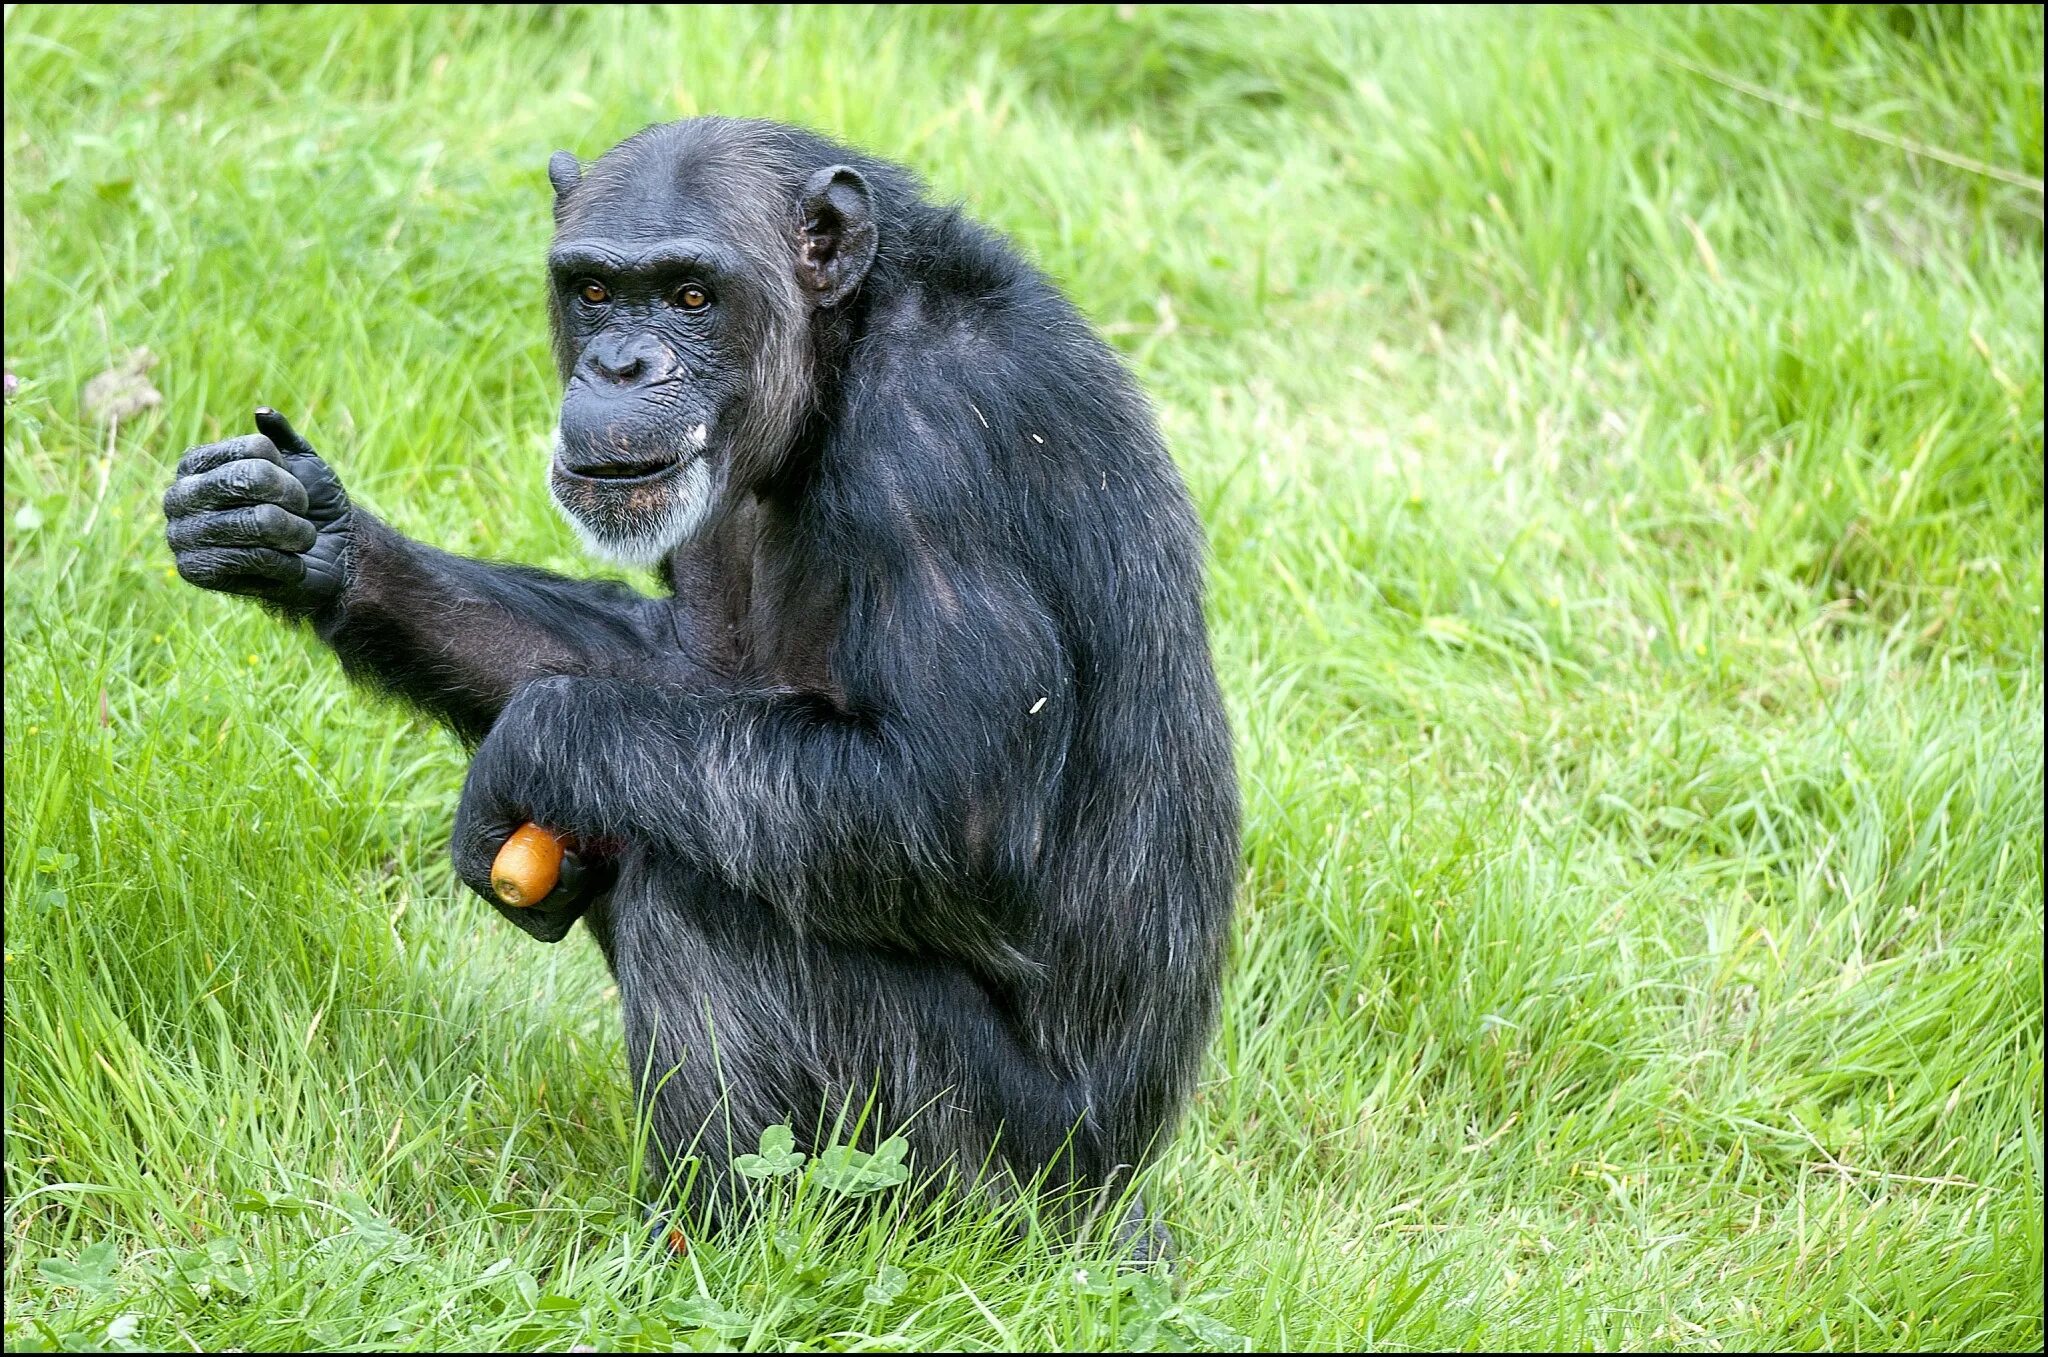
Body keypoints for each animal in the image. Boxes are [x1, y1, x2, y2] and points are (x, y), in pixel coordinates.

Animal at [159, 119, 1236, 1252]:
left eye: (690, 295)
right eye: (594, 290)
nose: (620, 362)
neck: (838, 357)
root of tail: (1120, 1203)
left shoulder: (941, 449)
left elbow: (952, 798)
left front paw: (533, 741)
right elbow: (673, 668)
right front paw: (318, 539)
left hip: (991, 1178)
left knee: (699, 897)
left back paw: (707, 1247)